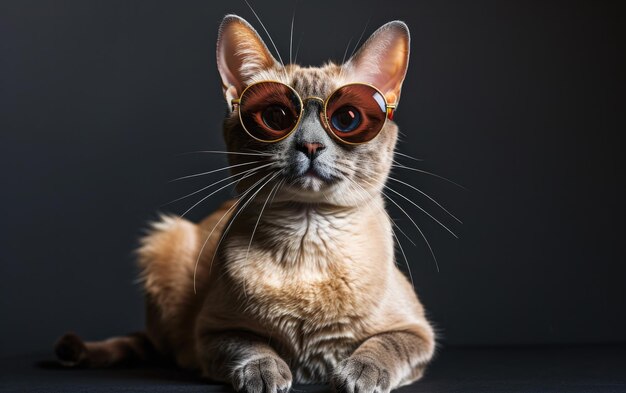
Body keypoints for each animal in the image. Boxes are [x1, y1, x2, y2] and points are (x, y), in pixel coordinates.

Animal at [54, 13, 434, 390]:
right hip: (166, 241)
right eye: (277, 117)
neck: (308, 232)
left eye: (346, 119)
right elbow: (251, 347)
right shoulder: (212, 332)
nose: (311, 146)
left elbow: (385, 346)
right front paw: (266, 374)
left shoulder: (418, 332)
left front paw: (358, 374)